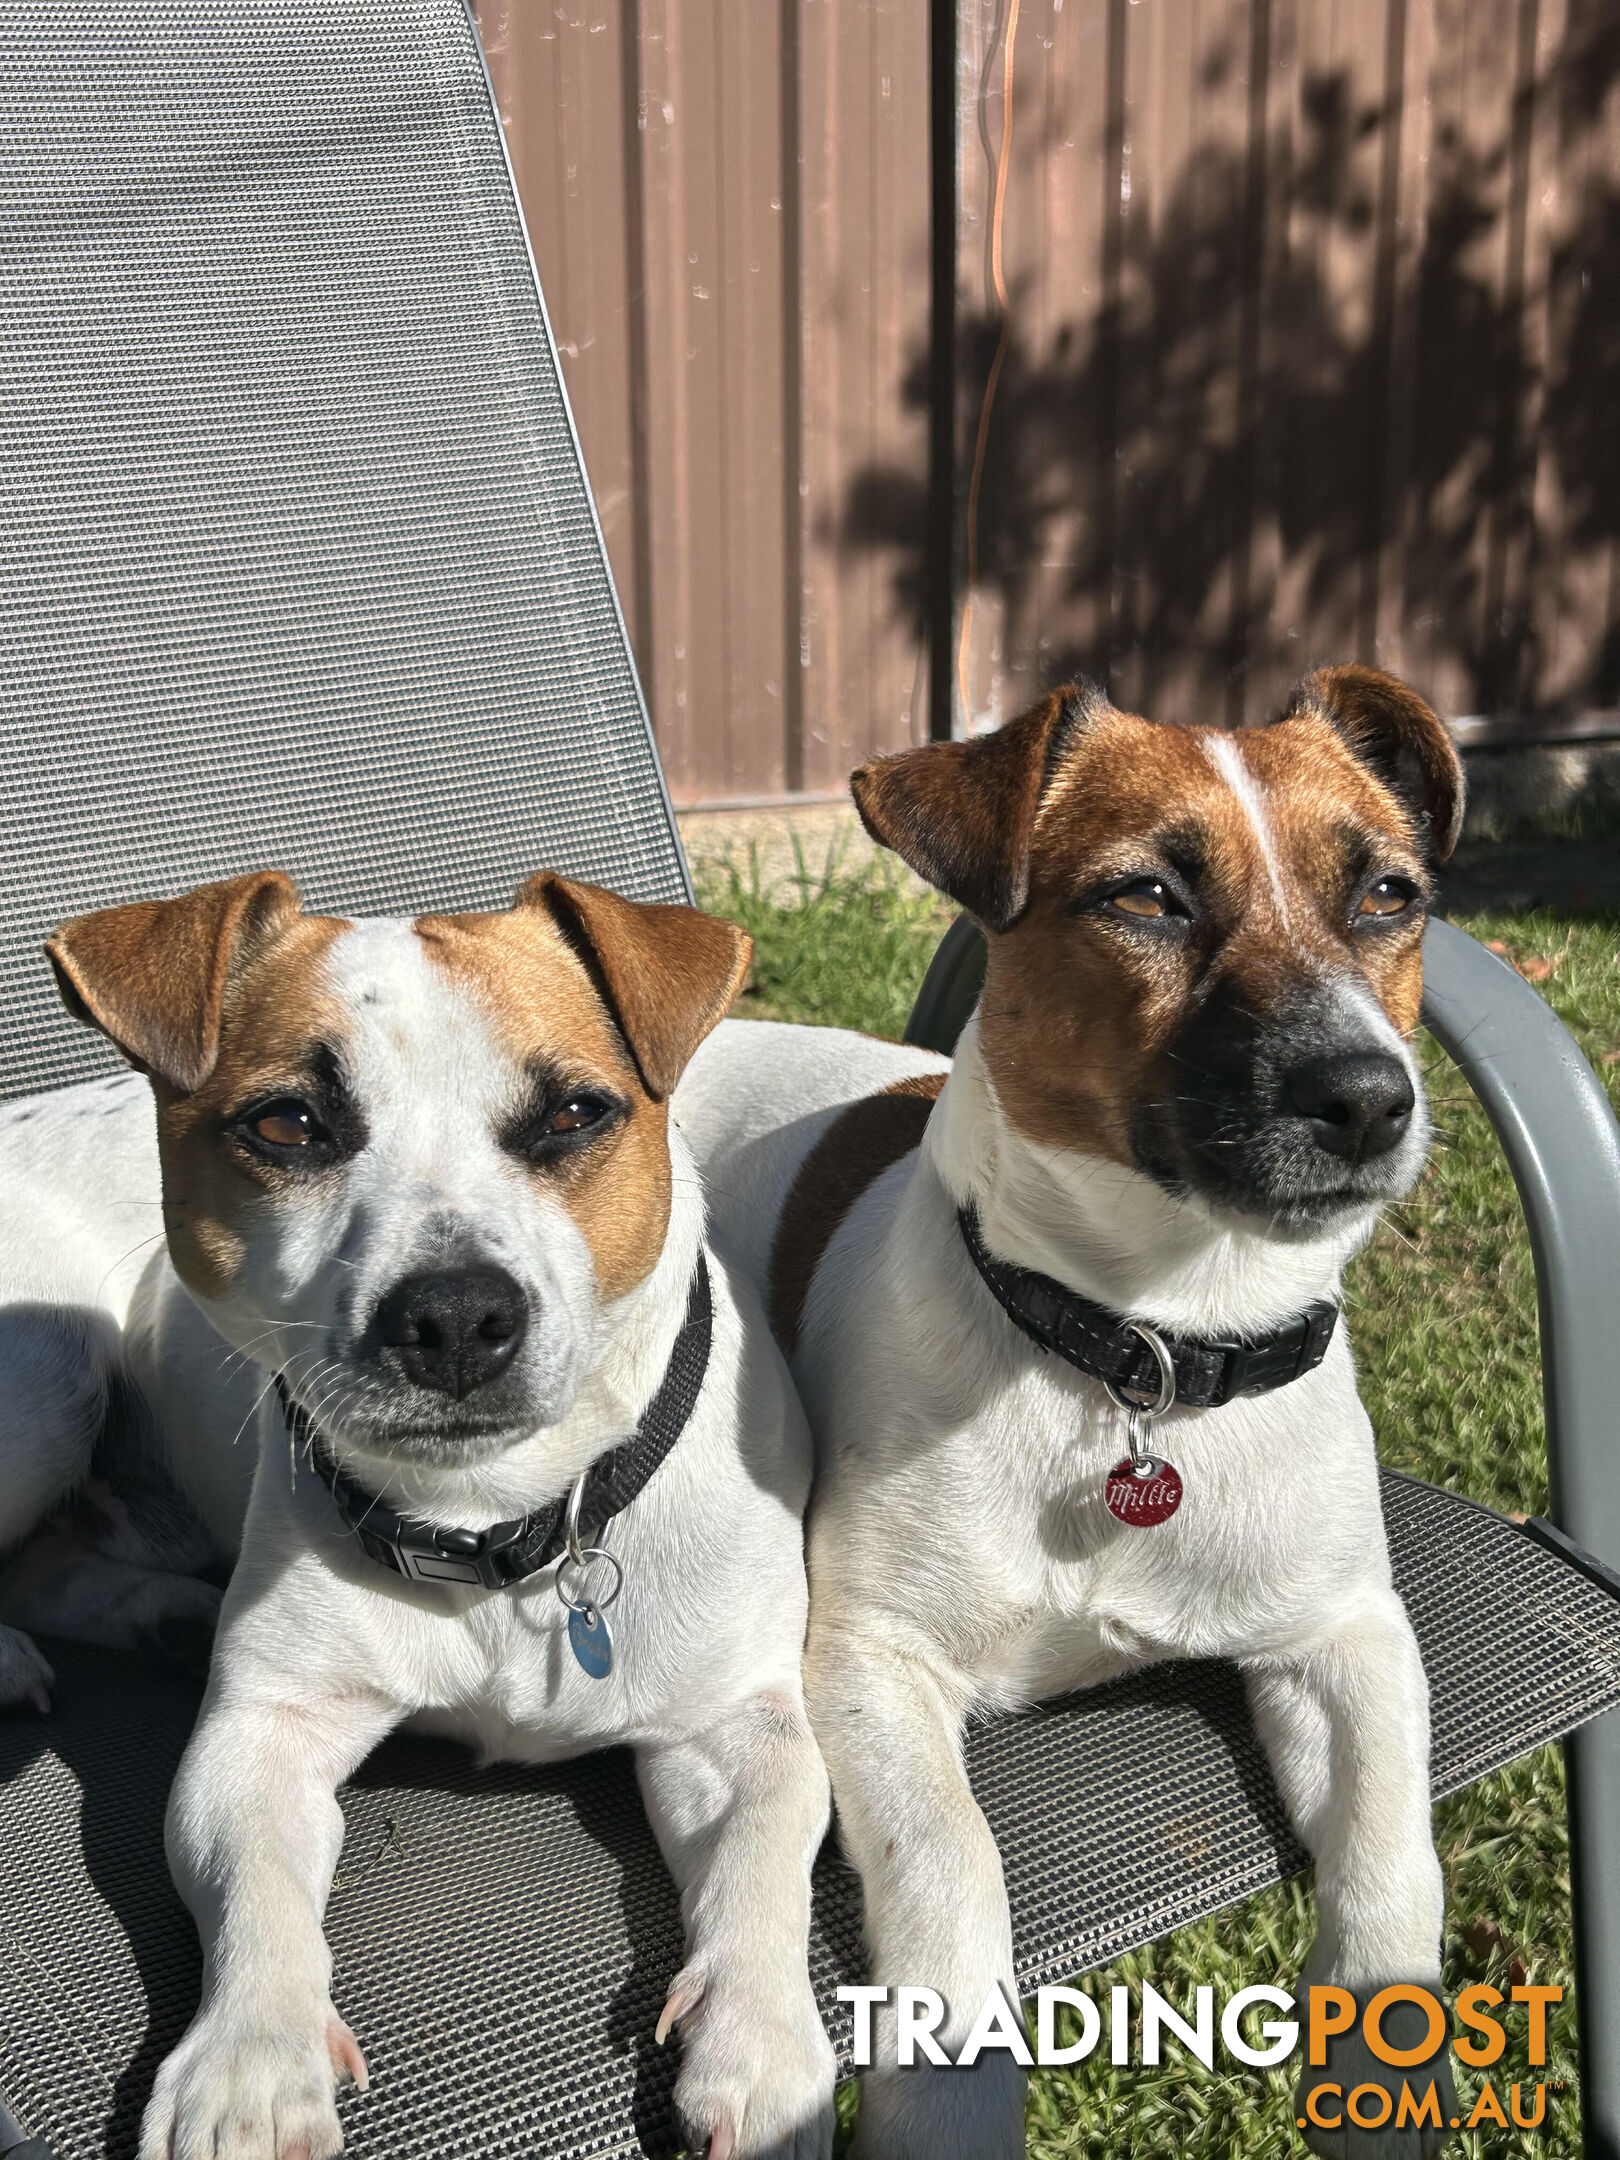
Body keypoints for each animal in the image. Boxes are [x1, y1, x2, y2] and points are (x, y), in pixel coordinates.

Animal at [0, 868, 838, 2160]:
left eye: (575, 1115)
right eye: (286, 1126)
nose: (451, 1316)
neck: (497, 1526)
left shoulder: (735, 1728)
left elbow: (764, 1859)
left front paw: (763, 2048)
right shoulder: (262, 1734)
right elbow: (256, 1897)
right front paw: (251, 2064)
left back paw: (158, 1613)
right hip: (45, 1372)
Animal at [673, 669, 1468, 2160]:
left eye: (1388, 893)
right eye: (1146, 895)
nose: (1368, 1097)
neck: (1146, 1353)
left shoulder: (1348, 1640)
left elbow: (1392, 1870)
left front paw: (1388, 2085)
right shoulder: (869, 1662)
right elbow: (952, 1871)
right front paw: (949, 2106)